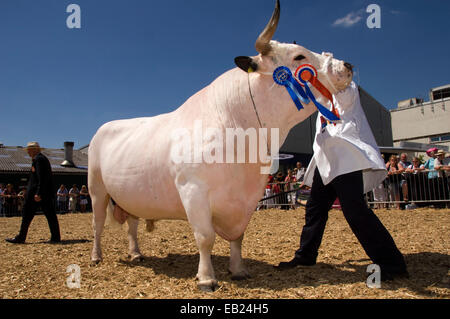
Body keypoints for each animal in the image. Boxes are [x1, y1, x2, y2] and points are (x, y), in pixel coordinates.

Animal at [89, 0, 354, 292]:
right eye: (298, 57)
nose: (346, 64)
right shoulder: (193, 190)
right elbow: (205, 237)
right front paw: (206, 278)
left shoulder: (246, 198)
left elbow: (238, 237)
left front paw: (238, 270)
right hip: (96, 189)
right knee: (97, 225)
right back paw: (96, 257)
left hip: (130, 195)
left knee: (132, 225)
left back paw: (136, 254)